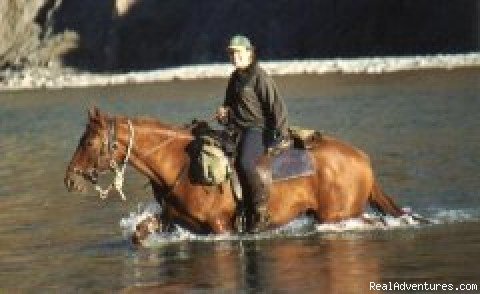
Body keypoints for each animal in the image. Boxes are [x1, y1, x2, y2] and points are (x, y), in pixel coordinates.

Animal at [64, 108, 408, 234]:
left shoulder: (220, 228)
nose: (69, 178)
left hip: (337, 216)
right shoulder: (172, 219)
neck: (179, 166)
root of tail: (362, 158)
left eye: (89, 141)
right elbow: (139, 233)